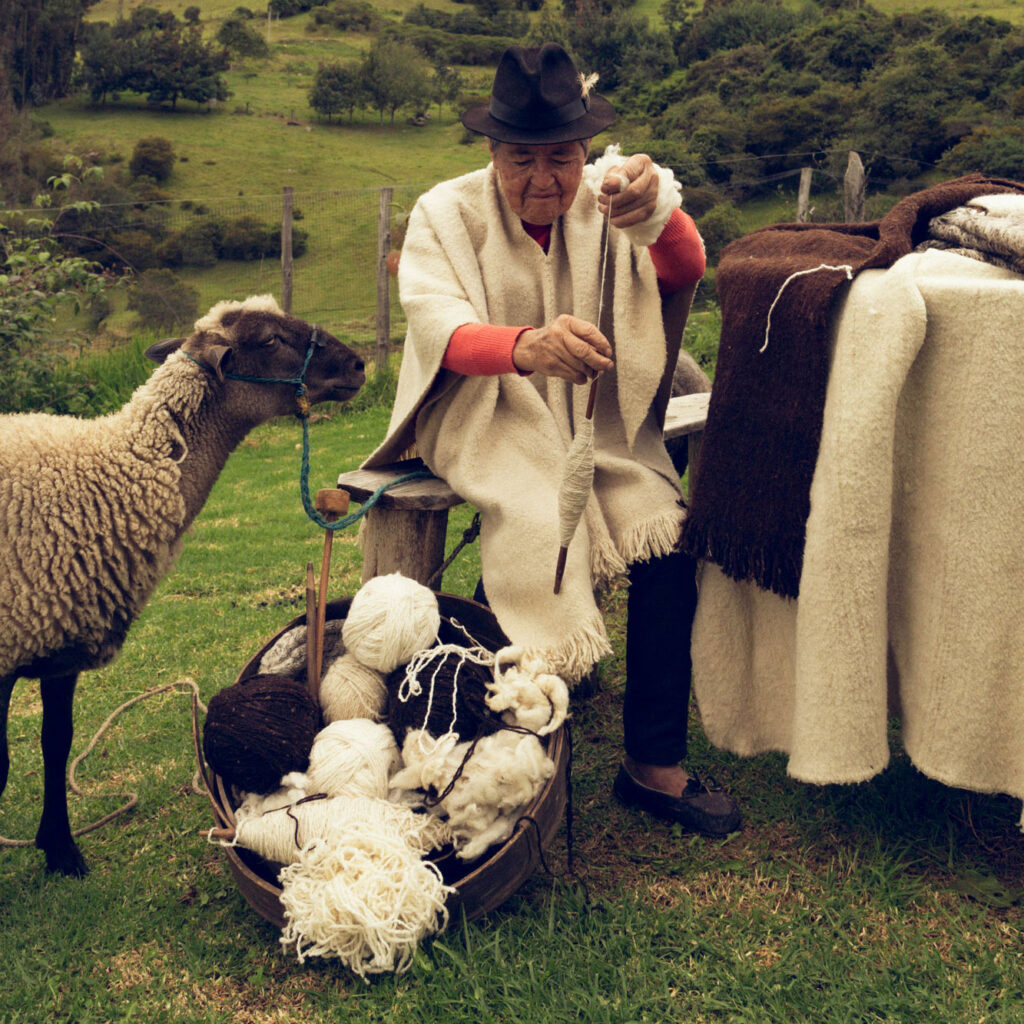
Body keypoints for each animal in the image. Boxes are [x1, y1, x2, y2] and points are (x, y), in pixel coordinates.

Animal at [0, 292, 368, 876]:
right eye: (270, 339)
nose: (358, 365)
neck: (112, 474)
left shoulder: (61, 642)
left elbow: (56, 743)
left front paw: (60, 849)